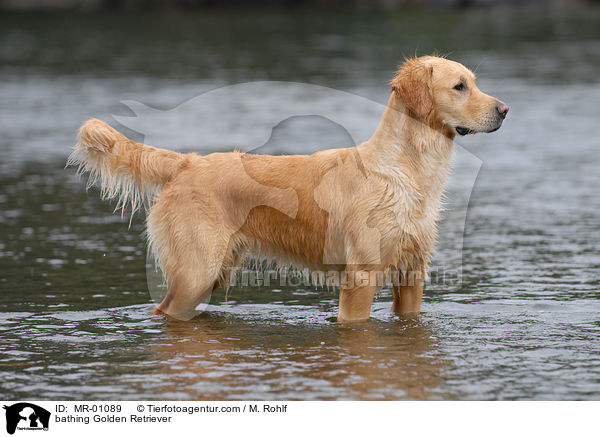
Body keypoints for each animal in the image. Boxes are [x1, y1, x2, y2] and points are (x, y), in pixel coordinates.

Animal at [68, 55, 508, 320]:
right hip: (196, 271)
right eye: (459, 86)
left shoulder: (412, 274)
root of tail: (187, 161)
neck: (406, 168)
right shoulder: (360, 277)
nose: (505, 110)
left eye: (474, 83)